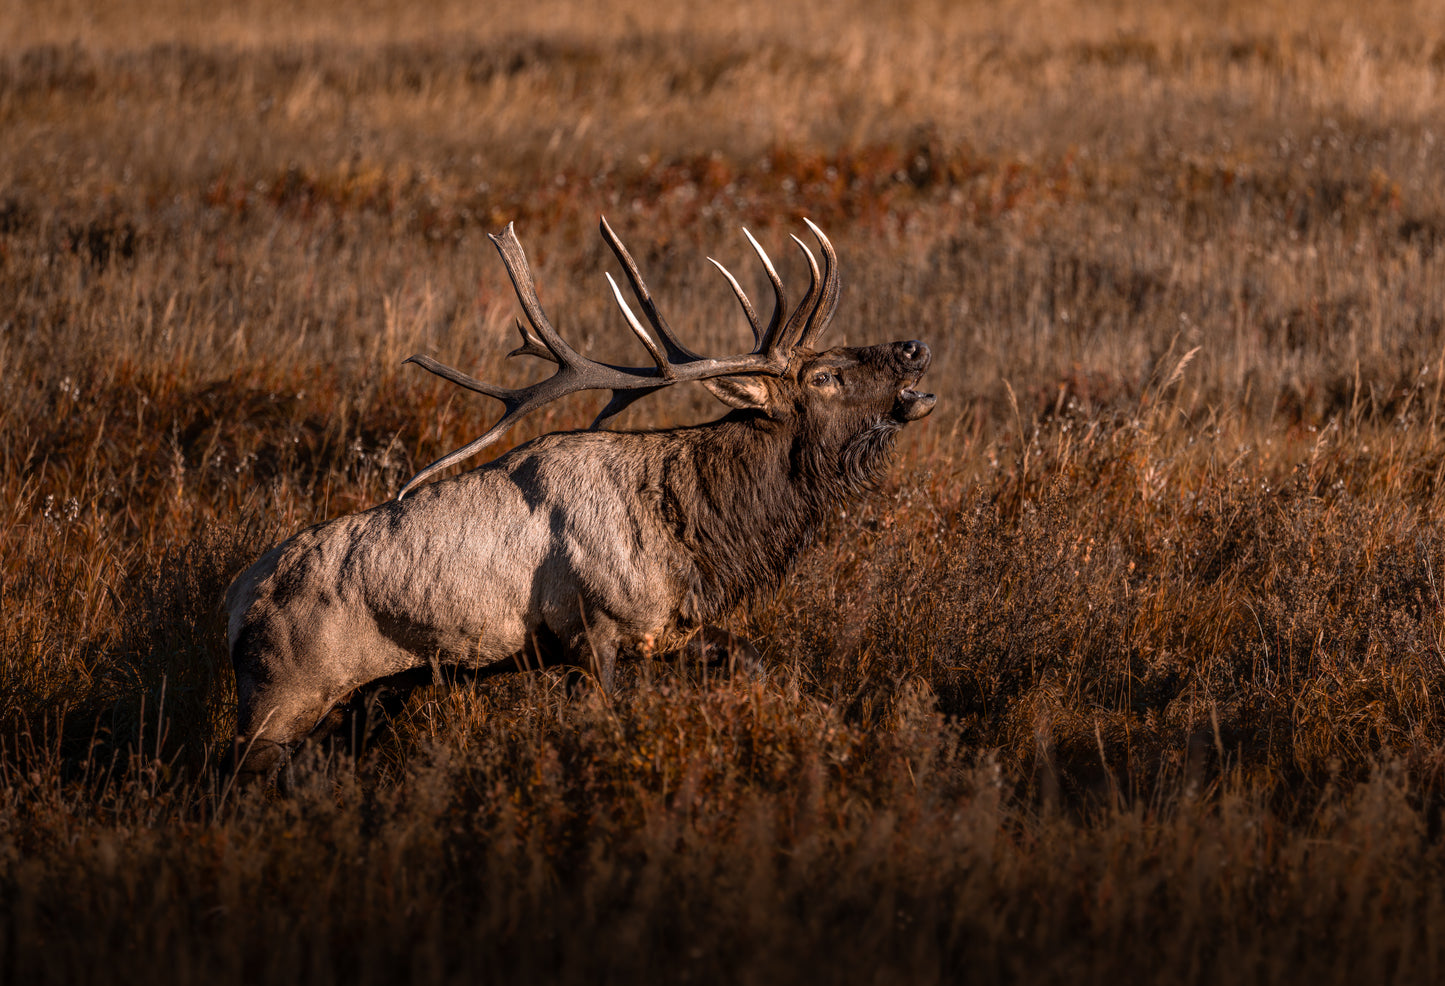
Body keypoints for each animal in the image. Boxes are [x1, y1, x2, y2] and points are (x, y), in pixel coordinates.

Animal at [219, 216, 930, 774]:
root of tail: (233, 603)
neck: (696, 538)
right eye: (825, 375)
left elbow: (752, 660)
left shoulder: (667, 629)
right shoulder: (591, 628)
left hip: (374, 694)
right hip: (284, 694)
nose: (914, 346)